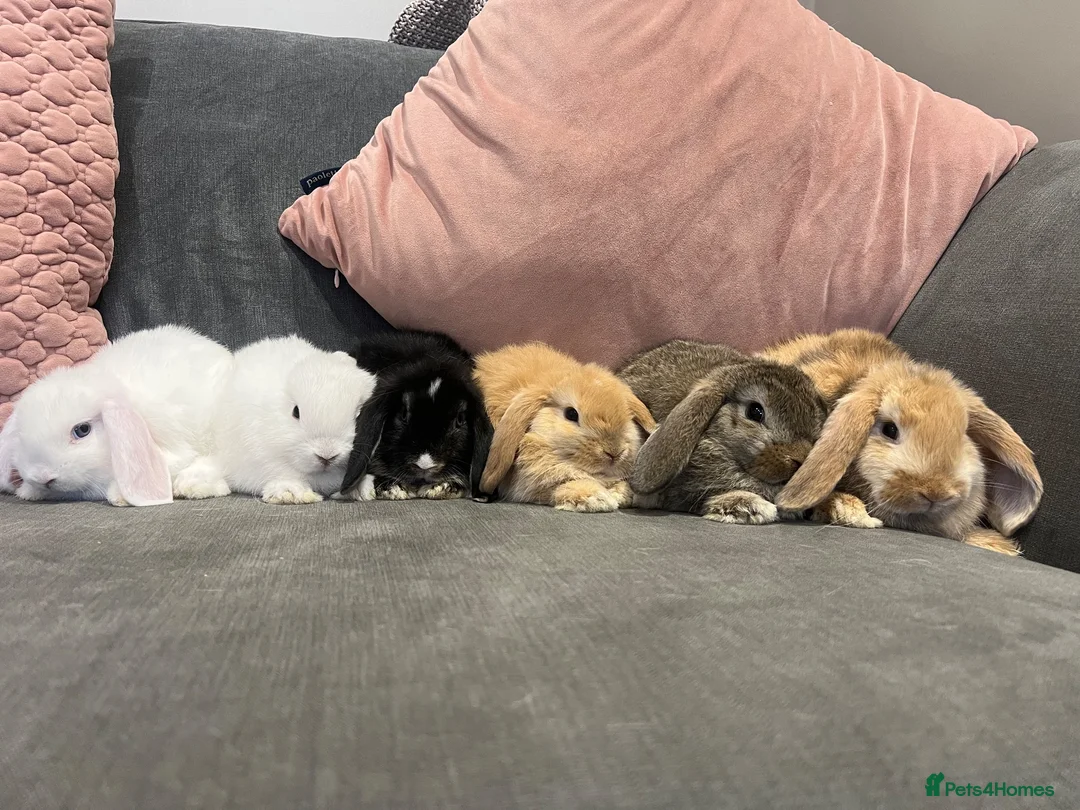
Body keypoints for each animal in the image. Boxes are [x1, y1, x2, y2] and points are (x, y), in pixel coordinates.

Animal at [474, 342, 656, 512]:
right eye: (571, 414)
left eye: (627, 415)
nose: (614, 452)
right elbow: (562, 486)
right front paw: (596, 499)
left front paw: (621, 494)